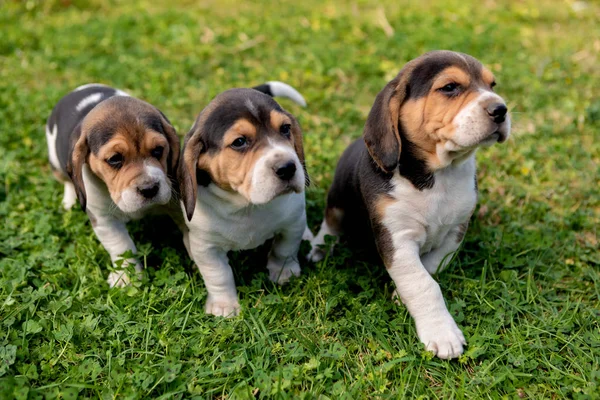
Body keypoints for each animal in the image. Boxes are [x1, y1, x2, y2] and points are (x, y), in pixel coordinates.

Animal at [46, 83, 182, 286]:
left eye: (158, 150)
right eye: (115, 159)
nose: (149, 189)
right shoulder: (104, 219)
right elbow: (122, 246)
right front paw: (126, 278)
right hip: (55, 162)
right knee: (67, 181)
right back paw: (69, 202)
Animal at [177, 83, 310, 318]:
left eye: (285, 129)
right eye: (239, 142)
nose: (288, 167)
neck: (245, 205)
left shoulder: (292, 222)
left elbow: (284, 249)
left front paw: (284, 272)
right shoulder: (206, 247)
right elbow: (219, 275)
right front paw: (224, 305)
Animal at [310, 50, 510, 360]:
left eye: (492, 85)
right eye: (450, 87)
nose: (501, 109)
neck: (440, 175)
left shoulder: (454, 234)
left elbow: (429, 269)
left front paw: (400, 296)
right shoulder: (397, 239)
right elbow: (423, 284)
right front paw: (442, 333)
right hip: (337, 199)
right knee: (330, 223)